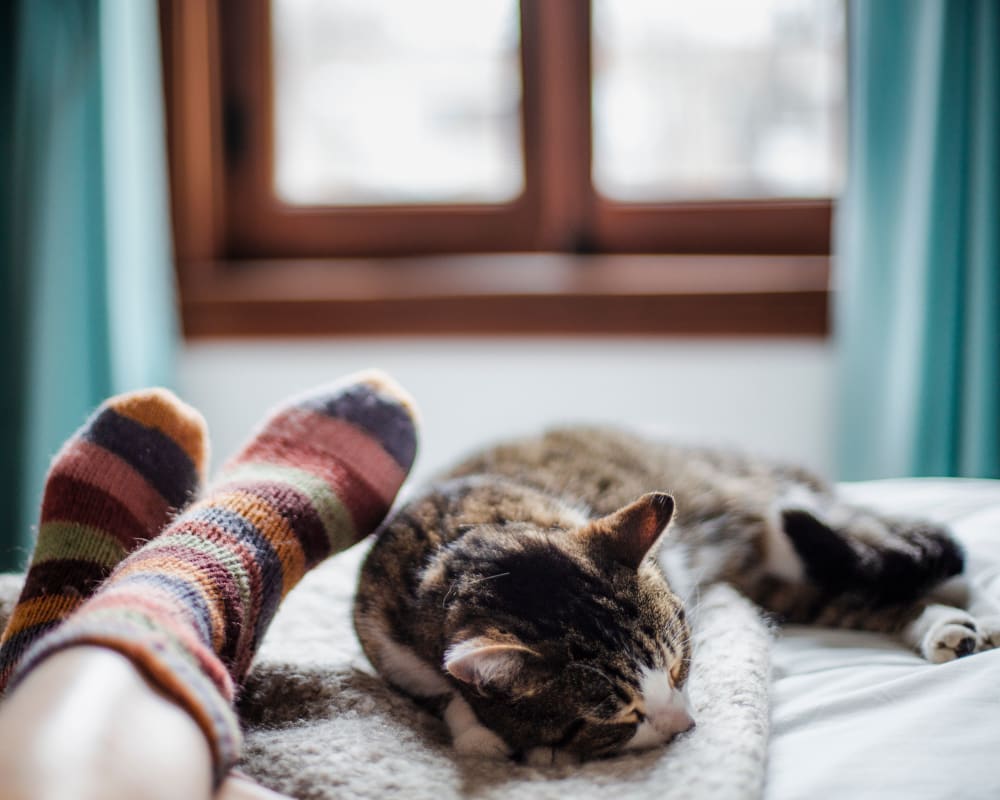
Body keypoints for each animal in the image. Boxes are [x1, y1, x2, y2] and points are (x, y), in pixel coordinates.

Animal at [354, 428, 1000, 764]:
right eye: (620, 715)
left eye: (679, 665)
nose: (687, 726)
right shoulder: (384, 643)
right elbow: (442, 690)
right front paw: (478, 732)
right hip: (779, 578)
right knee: (856, 592)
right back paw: (947, 629)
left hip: (785, 514)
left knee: (903, 551)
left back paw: (967, 615)